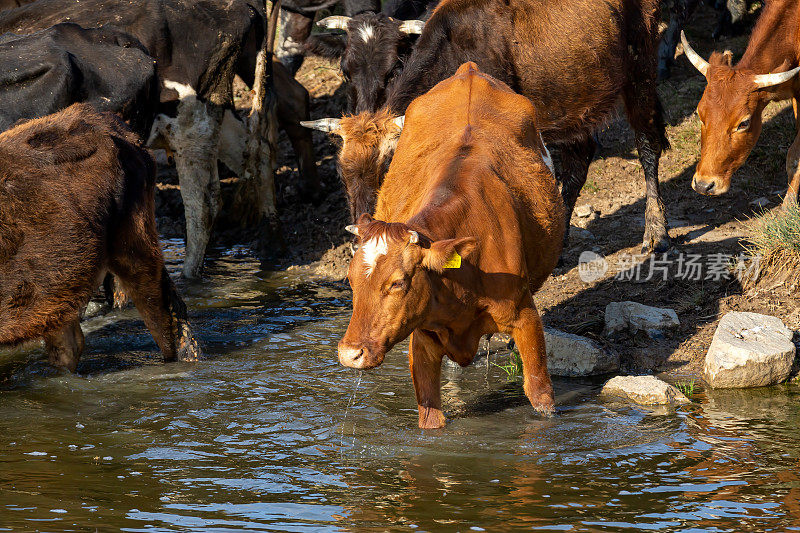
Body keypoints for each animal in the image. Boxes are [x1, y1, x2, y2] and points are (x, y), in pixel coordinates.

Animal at [338, 62, 564, 428]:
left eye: (398, 283)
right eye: (350, 280)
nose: (350, 354)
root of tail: (468, 70)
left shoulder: (526, 317)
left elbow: (540, 395)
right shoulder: (422, 337)